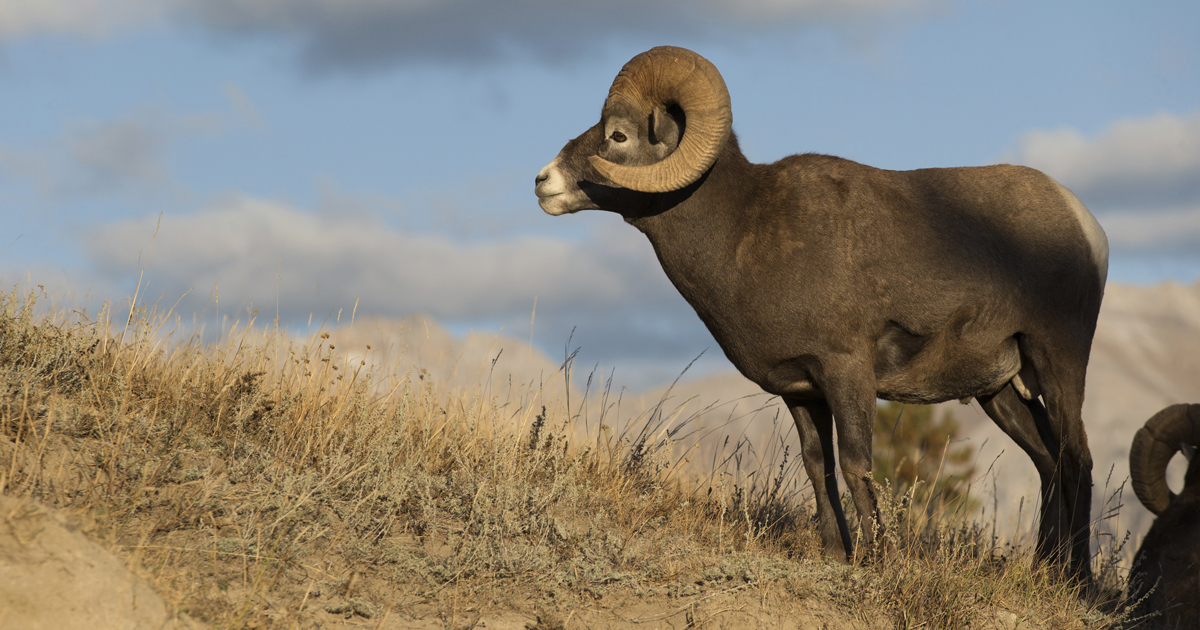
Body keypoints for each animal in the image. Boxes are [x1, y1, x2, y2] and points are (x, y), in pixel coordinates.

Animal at [534, 46, 1108, 580]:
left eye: (618, 136)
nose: (543, 182)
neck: (743, 233)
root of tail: (1084, 223)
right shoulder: (803, 391)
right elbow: (819, 468)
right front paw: (837, 554)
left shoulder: (847, 371)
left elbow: (856, 466)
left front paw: (879, 560)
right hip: (1002, 390)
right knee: (1049, 462)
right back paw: (1045, 570)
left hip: (1058, 361)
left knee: (1078, 459)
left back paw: (1076, 582)